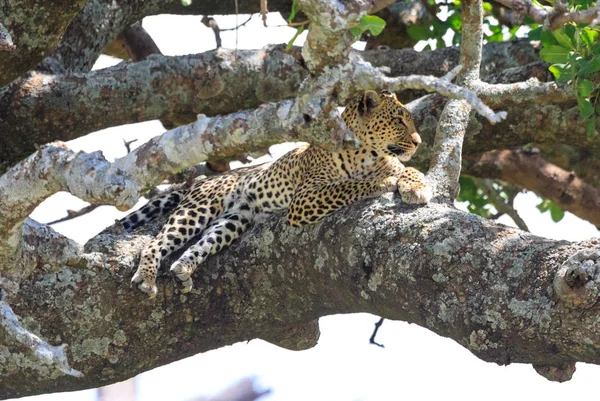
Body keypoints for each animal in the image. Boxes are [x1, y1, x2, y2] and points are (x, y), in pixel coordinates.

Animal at [122, 90, 432, 296]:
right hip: (198, 208)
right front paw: (381, 183)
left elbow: (411, 170)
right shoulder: (304, 199)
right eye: (398, 121)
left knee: (201, 244)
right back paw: (147, 277)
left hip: (235, 220)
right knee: (156, 242)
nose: (418, 142)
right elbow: (345, 186)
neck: (366, 155)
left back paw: (184, 269)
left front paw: (416, 187)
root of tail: (200, 180)